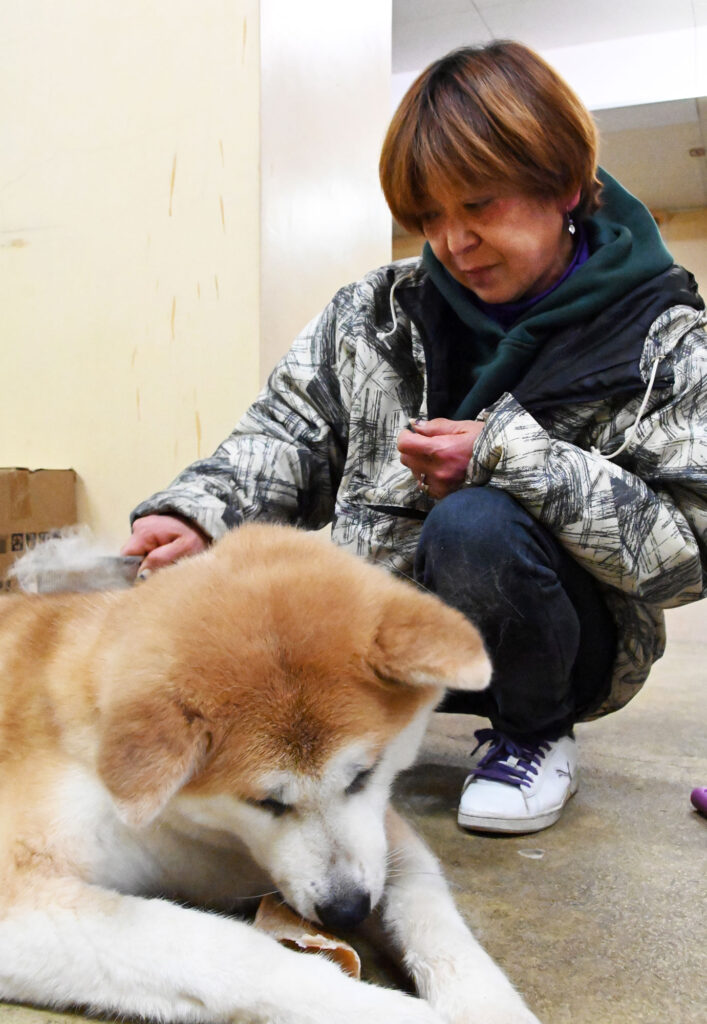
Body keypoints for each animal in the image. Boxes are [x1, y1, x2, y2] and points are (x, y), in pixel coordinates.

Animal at [0, 528, 541, 1024]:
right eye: (265, 803)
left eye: (363, 776)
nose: (347, 911)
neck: (211, 839)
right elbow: (231, 951)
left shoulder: (382, 834)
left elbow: (432, 913)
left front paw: (491, 1008)